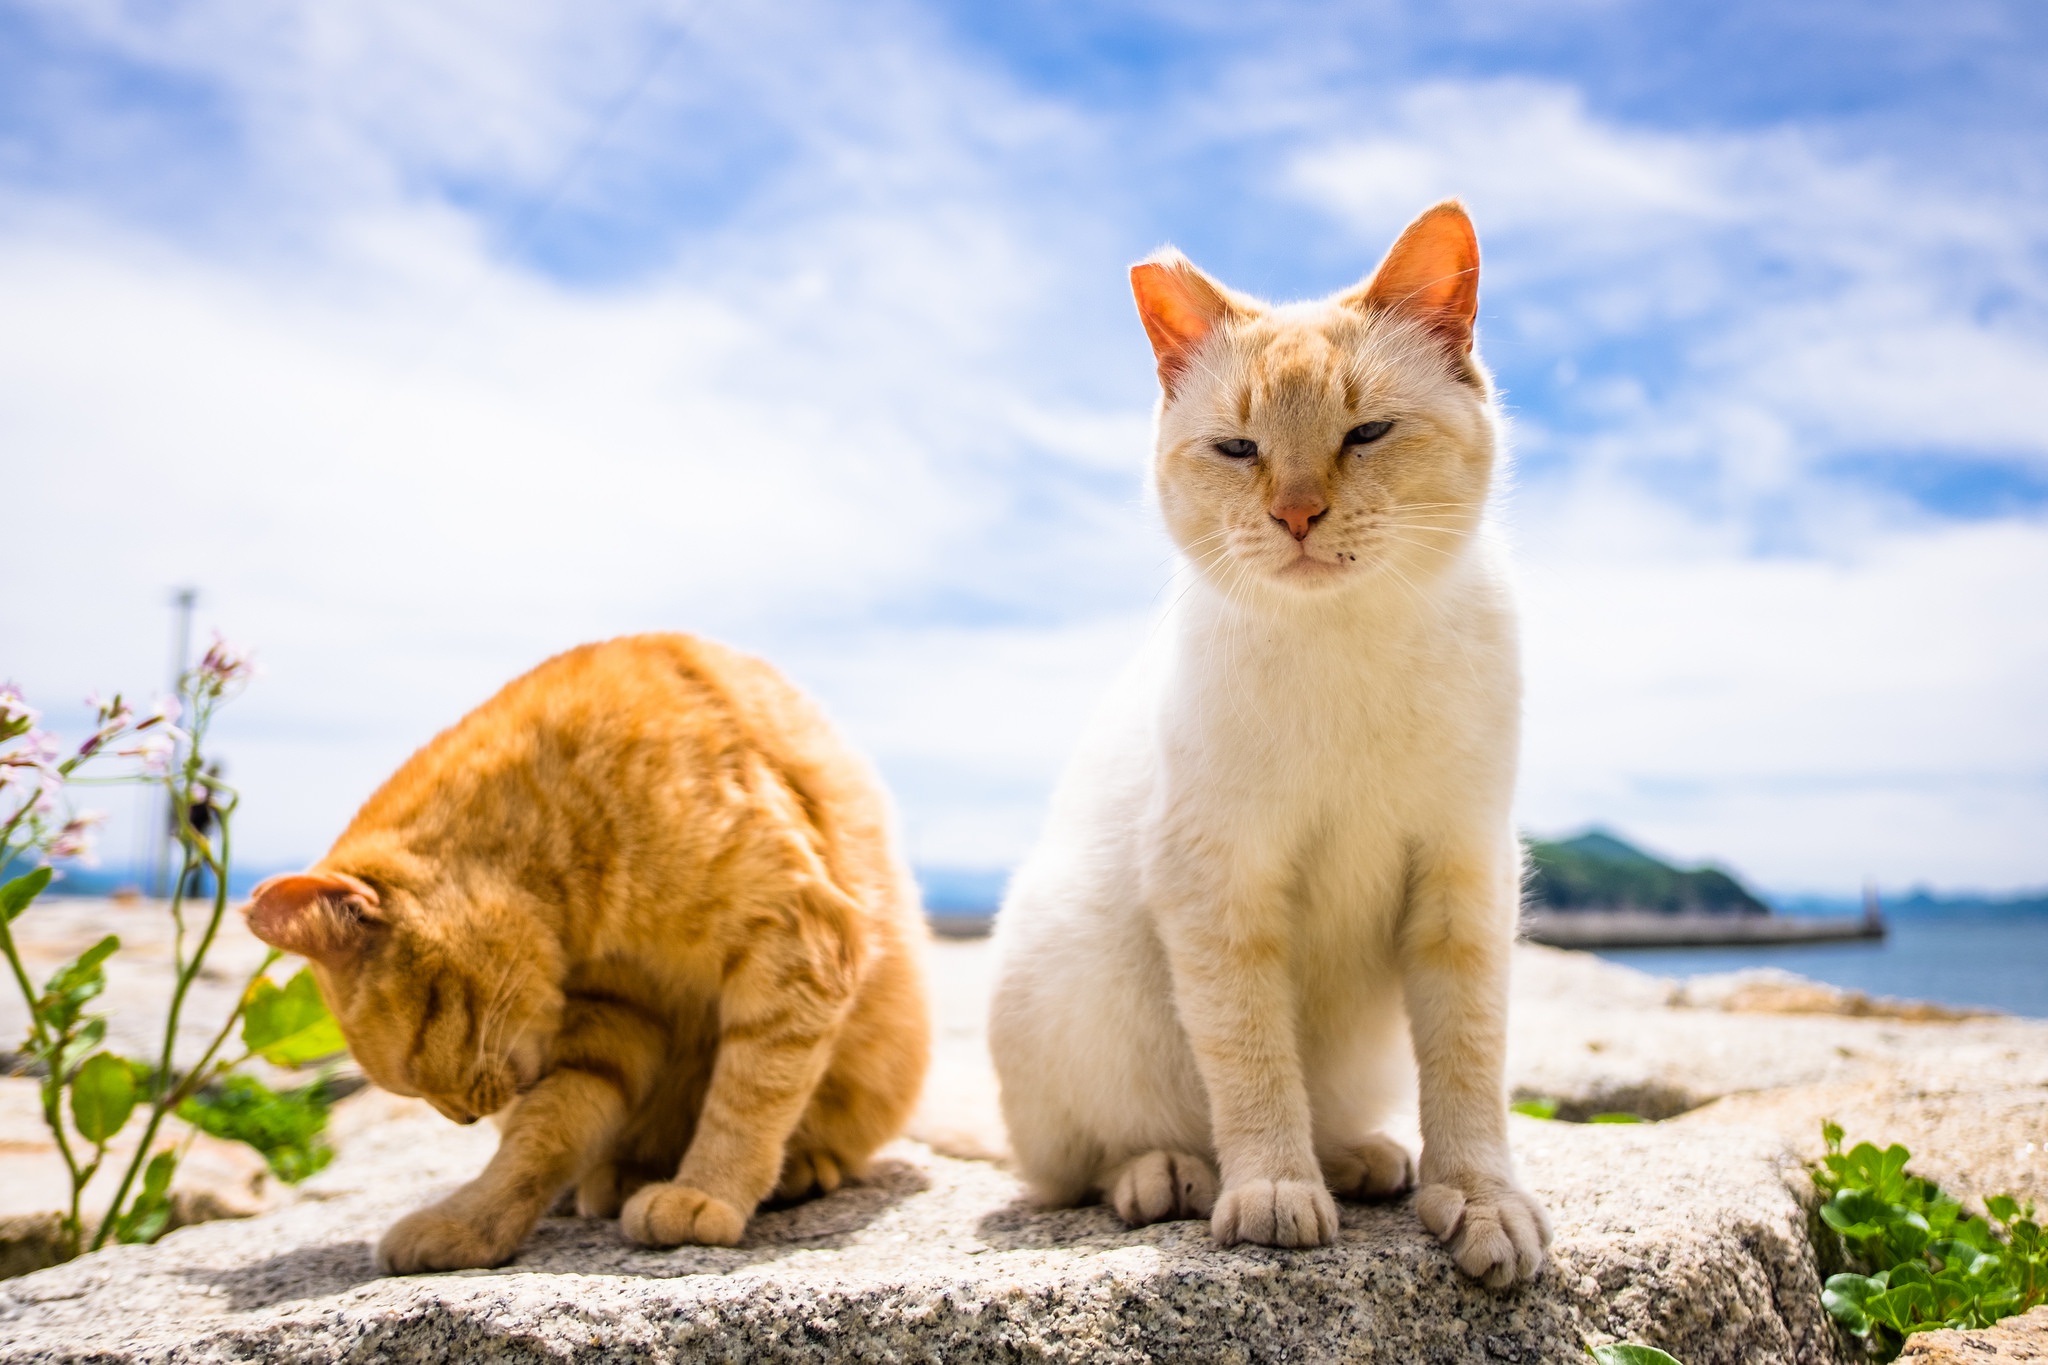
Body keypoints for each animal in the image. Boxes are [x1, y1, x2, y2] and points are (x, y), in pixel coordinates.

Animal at [241, 634, 937, 1277]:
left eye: (414, 1055)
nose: (464, 1119)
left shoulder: (795, 940)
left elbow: (750, 1095)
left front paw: (705, 1194)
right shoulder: (612, 1011)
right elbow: (543, 1132)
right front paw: (471, 1224)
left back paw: (794, 1171)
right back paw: (618, 1177)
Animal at [991, 197, 1548, 1285]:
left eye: (1367, 432)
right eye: (1238, 449)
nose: (1296, 513)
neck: (1345, 641)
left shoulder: (1464, 873)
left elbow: (1469, 1064)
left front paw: (1478, 1204)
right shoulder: (1217, 882)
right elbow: (1251, 1060)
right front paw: (1275, 1195)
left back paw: (1365, 1160)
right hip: (1069, 969)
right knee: (1080, 1163)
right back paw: (1171, 1175)